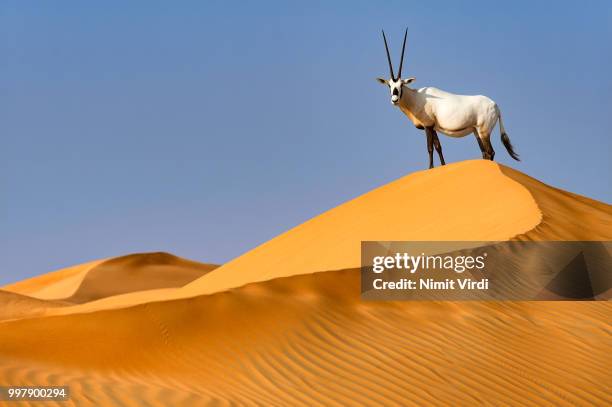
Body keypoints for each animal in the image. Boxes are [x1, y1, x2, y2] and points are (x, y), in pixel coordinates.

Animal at [376, 29, 520, 167]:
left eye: (401, 84)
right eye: (389, 85)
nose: (394, 100)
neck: (417, 97)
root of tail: (496, 106)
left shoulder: (428, 126)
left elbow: (430, 148)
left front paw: (430, 168)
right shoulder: (433, 127)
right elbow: (438, 147)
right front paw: (443, 166)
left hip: (484, 131)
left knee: (490, 152)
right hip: (476, 131)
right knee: (485, 153)